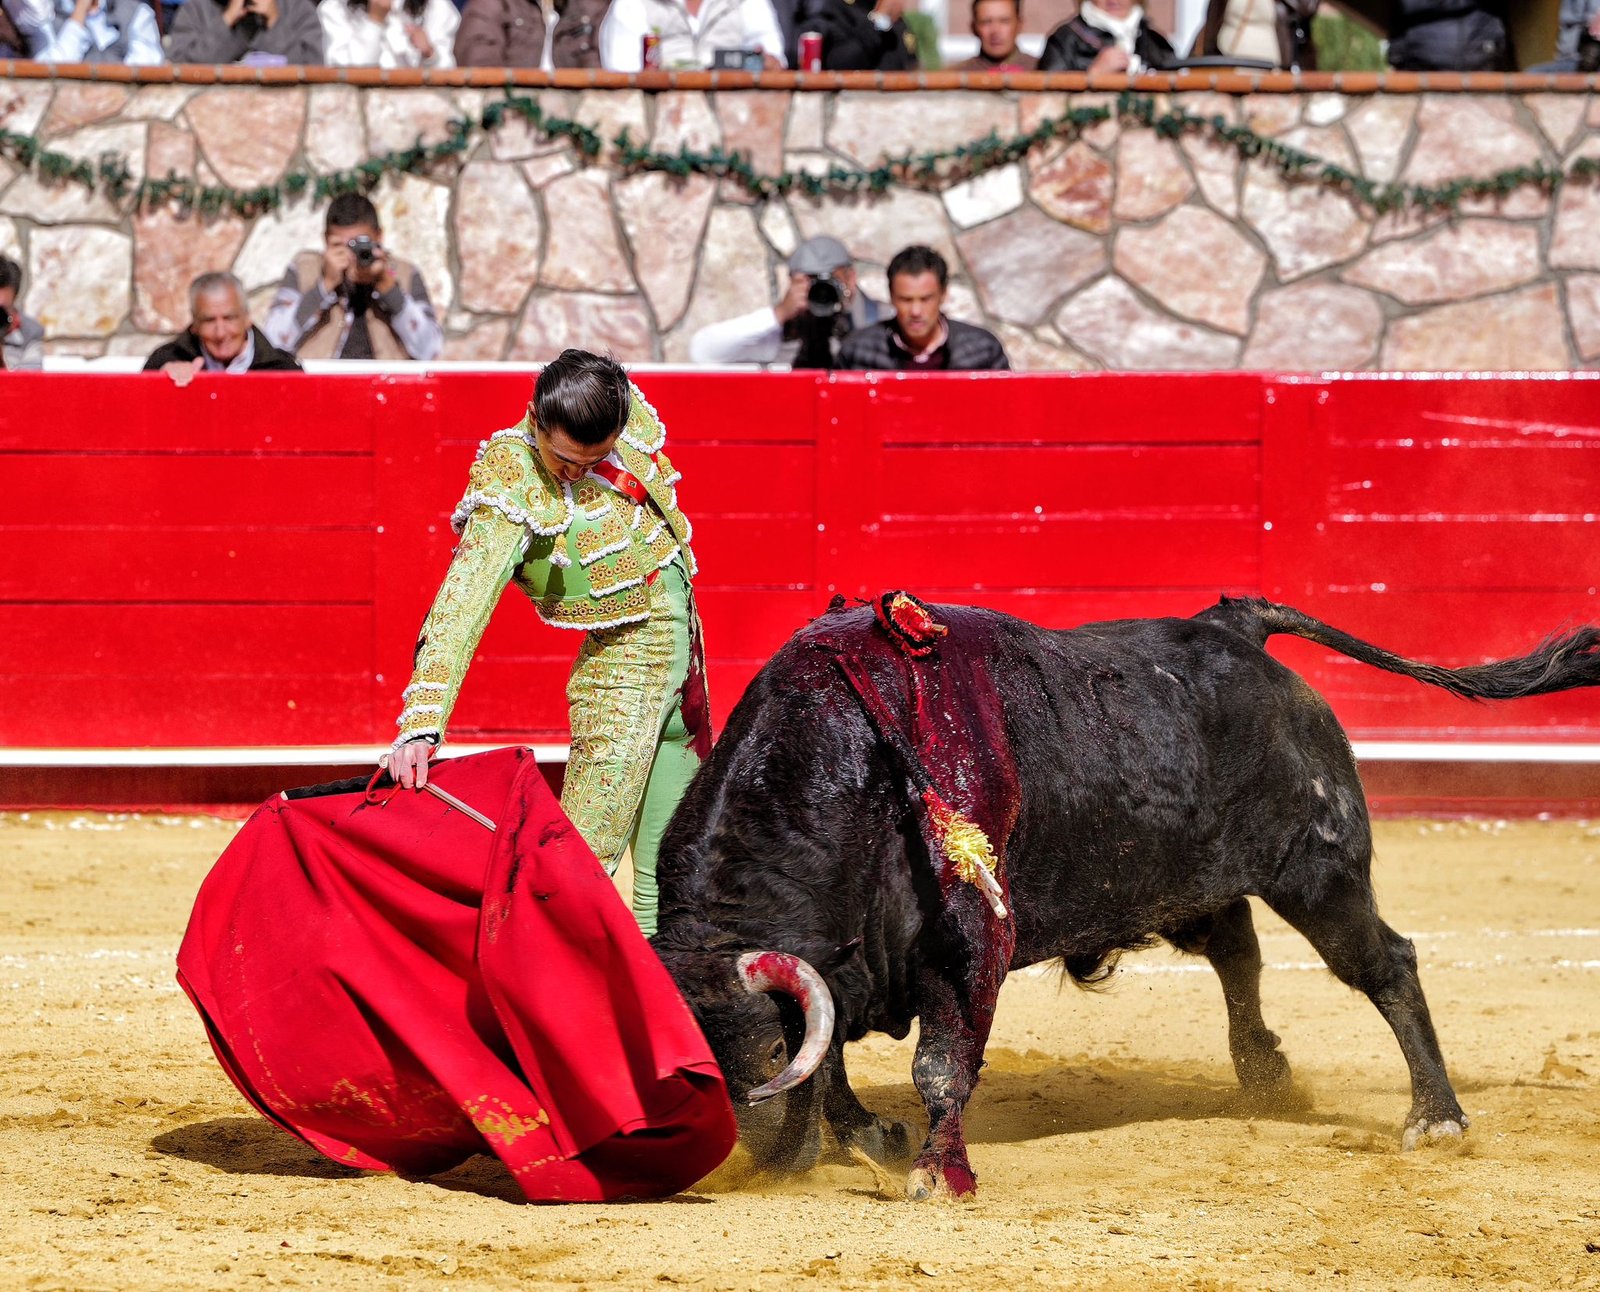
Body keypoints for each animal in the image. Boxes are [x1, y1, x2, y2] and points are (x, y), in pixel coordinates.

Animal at [650, 595, 1600, 1199]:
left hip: (1321, 869)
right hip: (1187, 878)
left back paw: (1435, 1119)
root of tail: (1234, 625)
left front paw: (934, 1173)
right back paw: (1265, 1075)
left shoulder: (969, 942)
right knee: (1236, 946)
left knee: (1384, 964)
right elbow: (840, 1054)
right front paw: (870, 1138)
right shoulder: (846, 961)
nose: (742, 1167)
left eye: (770, 1056)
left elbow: (938, 1062)